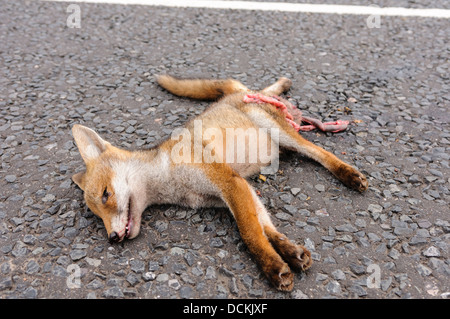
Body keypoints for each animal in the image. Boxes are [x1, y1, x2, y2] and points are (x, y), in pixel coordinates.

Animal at [71, 75, 370, 292]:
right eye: (97, 215)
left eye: (106, 195)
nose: (112, 237)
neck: (170, 178)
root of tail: (234, 97)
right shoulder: (233, 193)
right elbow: (265, 228)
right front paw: (290, 252)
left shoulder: (229, 182)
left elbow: (250, 234)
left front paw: (273, 268)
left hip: (280, 132)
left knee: (320, 153)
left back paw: (347, 173)